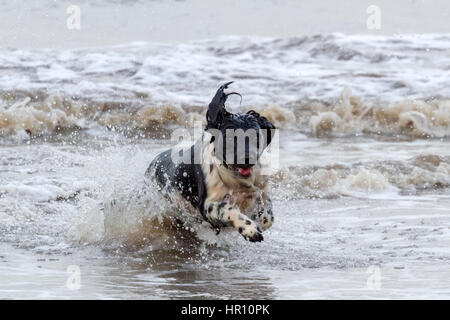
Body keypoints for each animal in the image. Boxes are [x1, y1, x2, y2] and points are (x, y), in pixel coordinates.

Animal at [146, 82, 276, 242]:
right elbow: (228, 209)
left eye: (256, 136)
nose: (247, 158)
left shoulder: (260, 187)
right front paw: (250, 230)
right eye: (230, 138)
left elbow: (267, 208)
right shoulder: (207, 205)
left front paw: (263, 219)